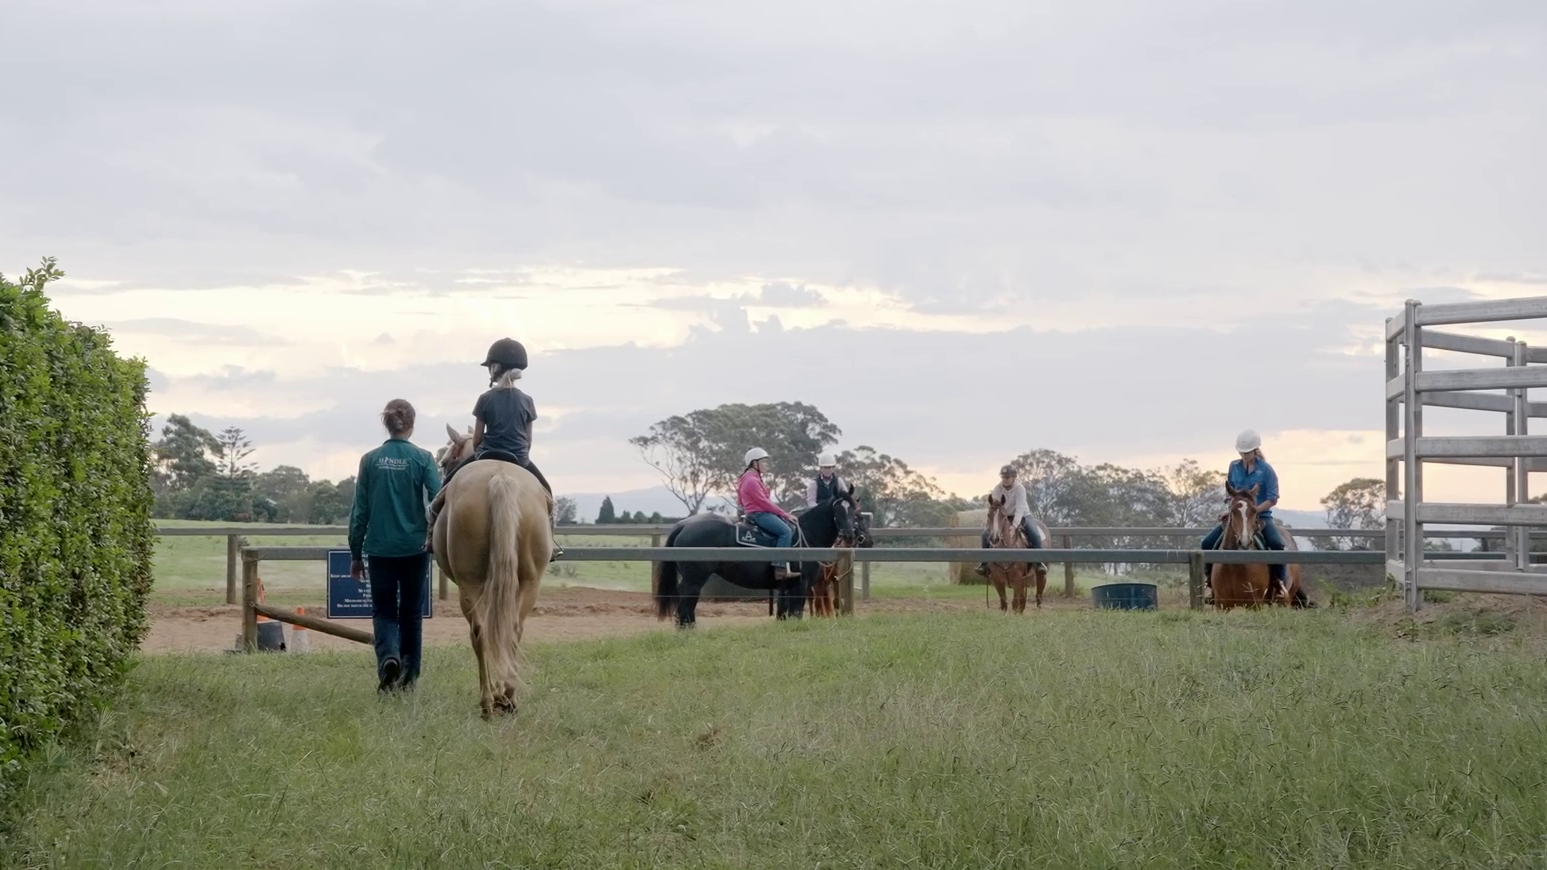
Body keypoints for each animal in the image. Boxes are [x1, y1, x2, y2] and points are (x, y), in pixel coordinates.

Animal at [431, 424, 552, 717]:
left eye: (445, 461)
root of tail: (500, 478)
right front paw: (503, 692)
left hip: (471, 583)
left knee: (481, 633)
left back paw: (488, 701)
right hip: (530, 582)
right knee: (512, 630)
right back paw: (508, 697)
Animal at [652, 490, 862, 628]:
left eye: (855, 510)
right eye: (836, 510)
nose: (850, 536)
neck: (806, 534)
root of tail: (684, 525)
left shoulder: (786, 587)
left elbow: (784, 614)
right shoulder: (800, 584)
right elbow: (795, 613)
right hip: (694, 579)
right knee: (686, 604)